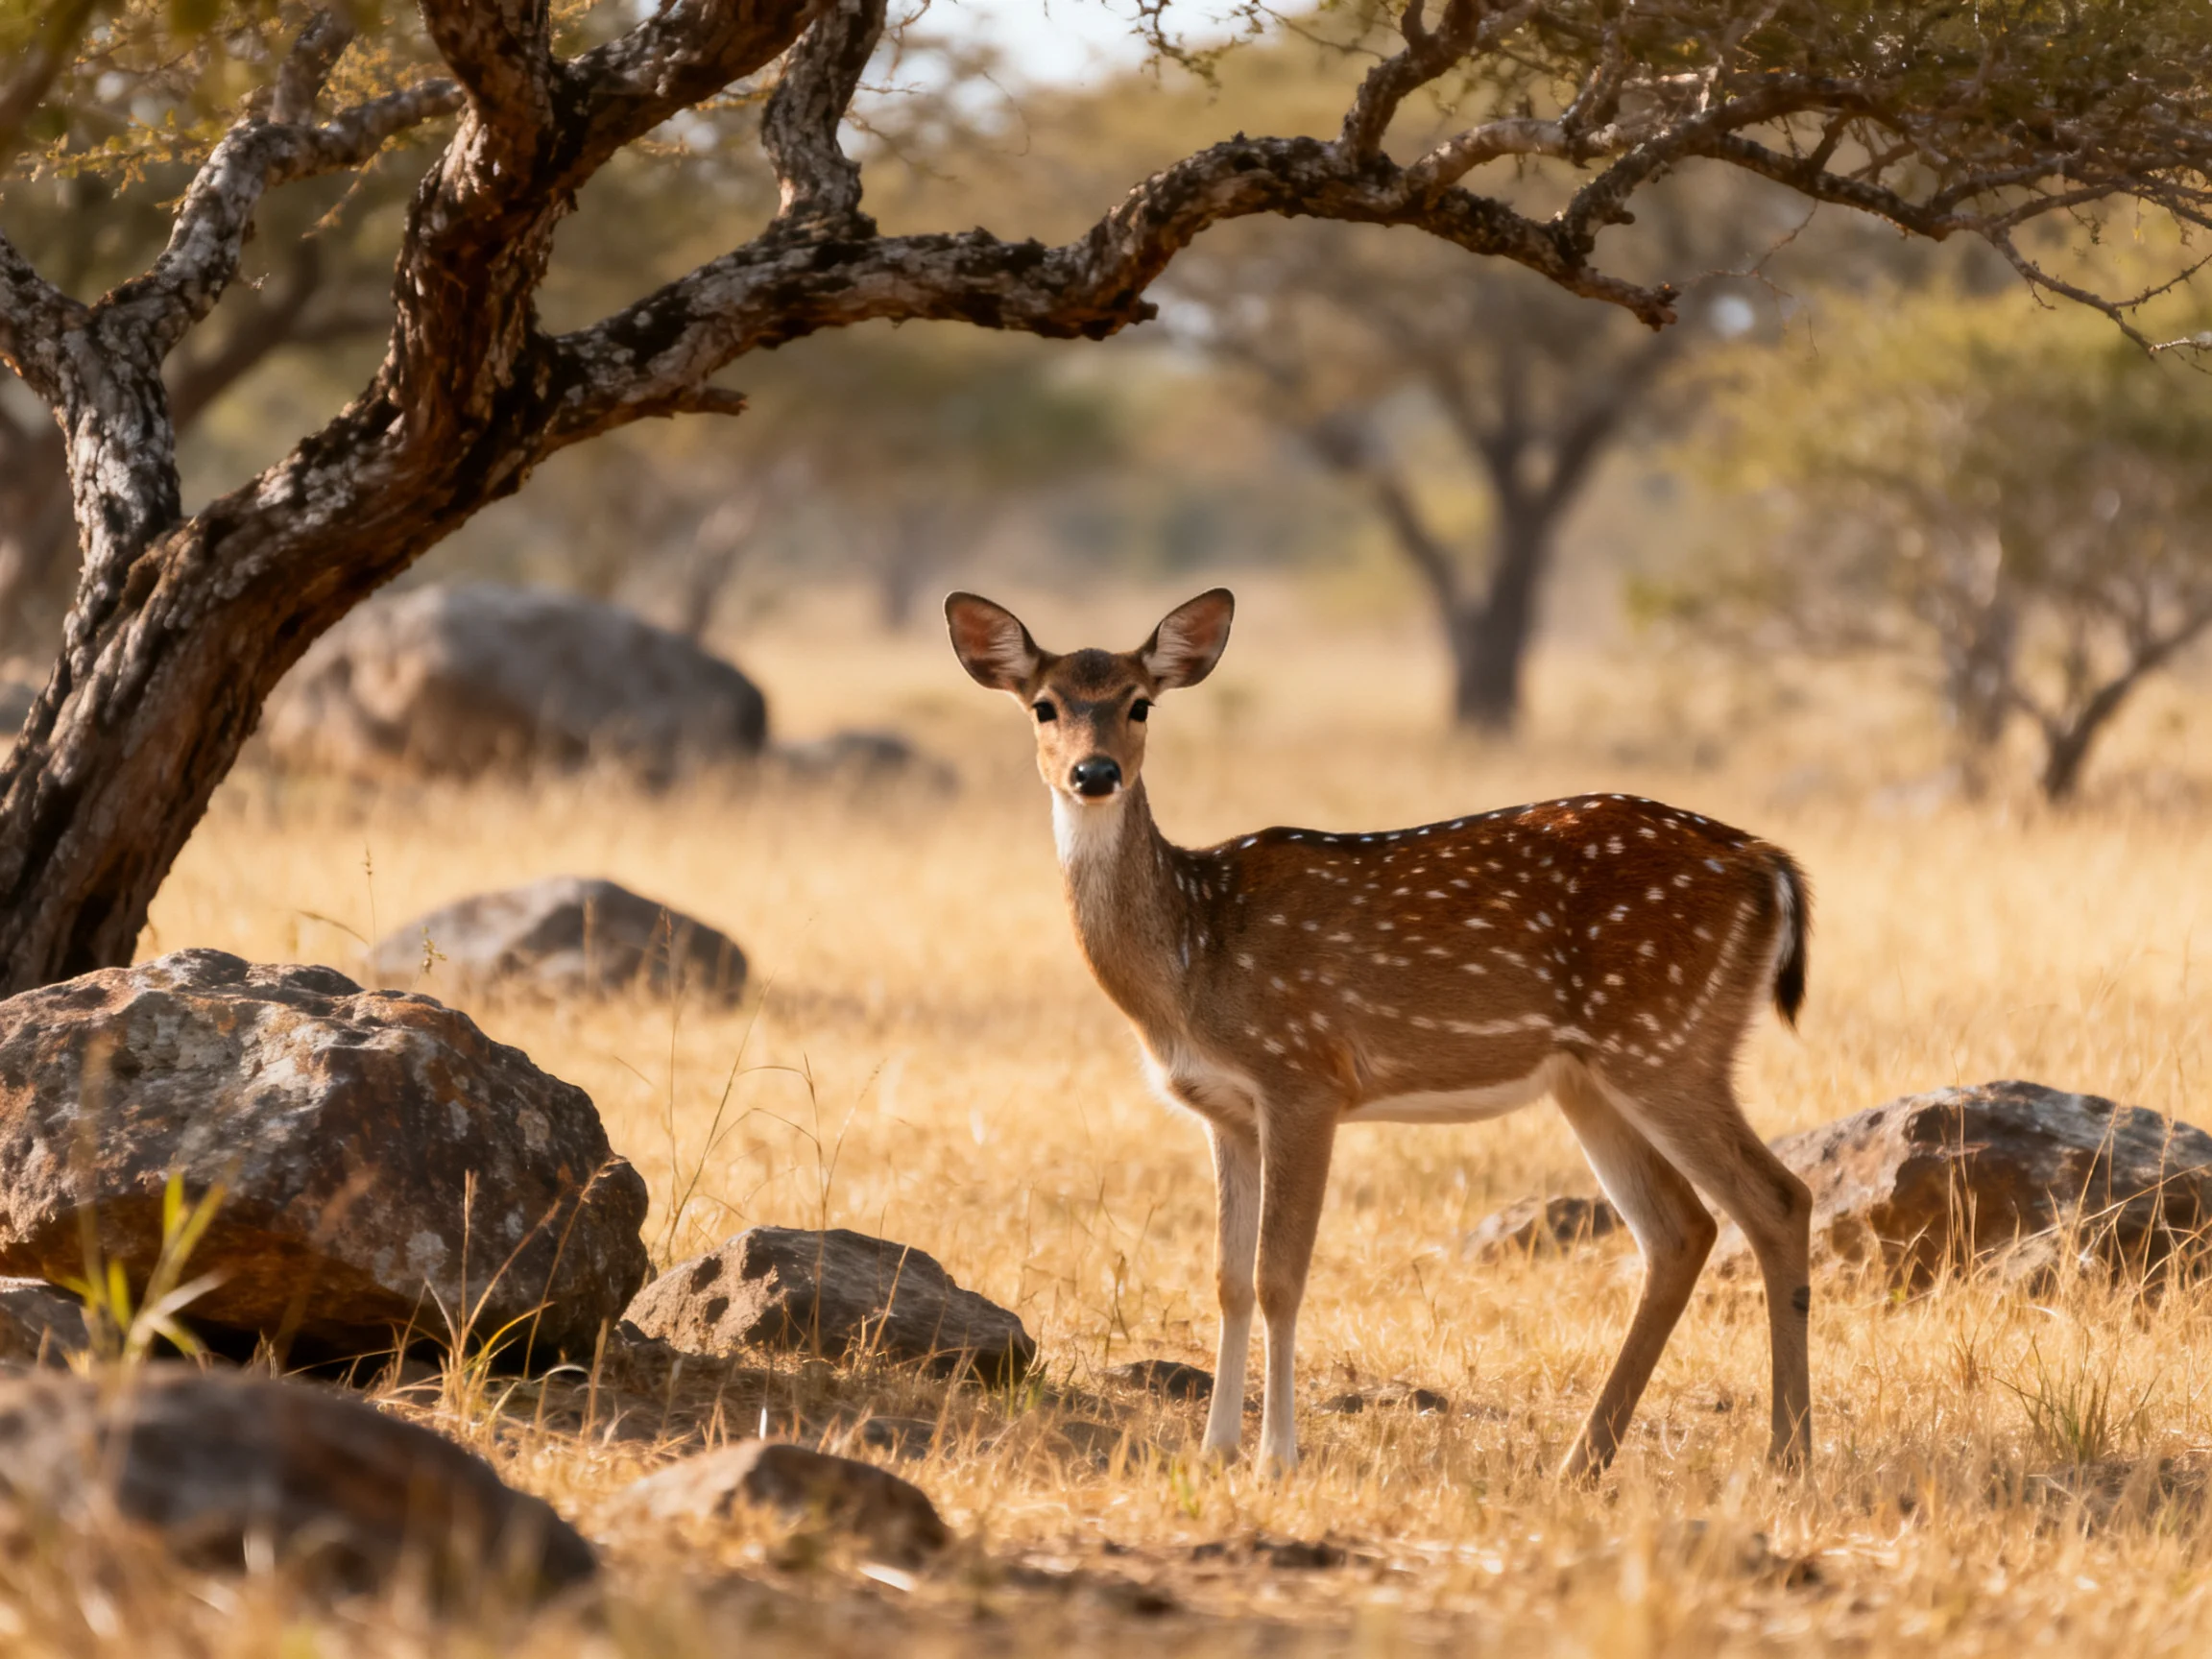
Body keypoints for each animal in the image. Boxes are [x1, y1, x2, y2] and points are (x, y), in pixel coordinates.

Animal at [945, 587, 1814, 1477]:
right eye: (1044, 705)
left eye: (1139, 703)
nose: (1095, 773)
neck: (1195, 954)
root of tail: (1773, 869)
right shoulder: (1225, 1110)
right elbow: (1226, 1277)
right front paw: (1216, 1450)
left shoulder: (1303, 1075)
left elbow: (1280, 1276)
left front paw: (1277, 1457)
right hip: (1594, 1077)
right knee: (1681, 1229)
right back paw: (1584, 1460)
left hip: (1666, 1041)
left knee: (1777, 1198)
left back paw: (1787, 1454)